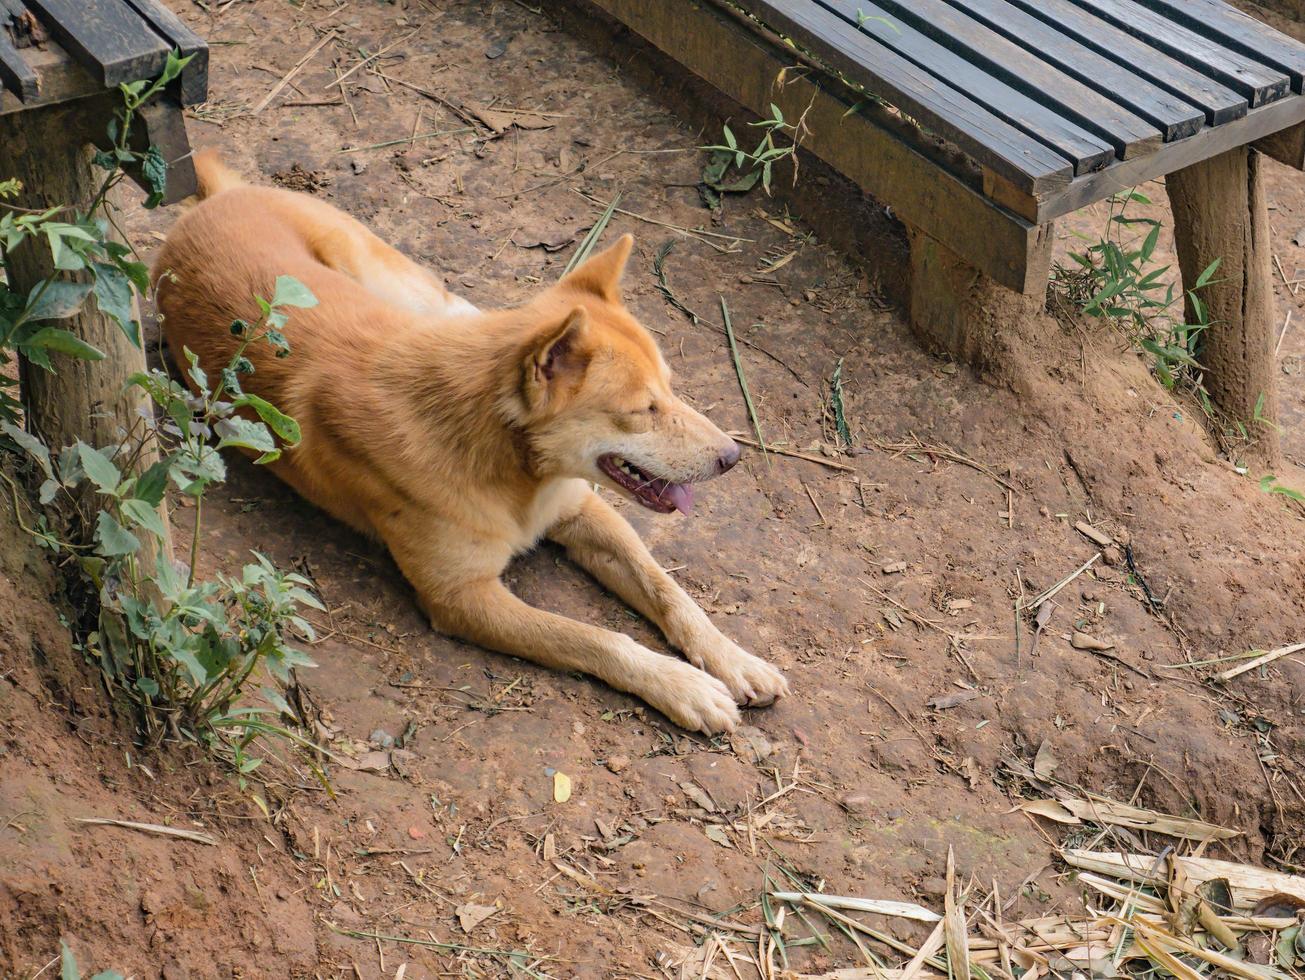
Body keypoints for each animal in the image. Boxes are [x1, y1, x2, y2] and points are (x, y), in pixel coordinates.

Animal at [152, 151, 782, 735]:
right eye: (642, 411)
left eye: (671, 390)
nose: (733, 457)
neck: (515, 469)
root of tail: (216, 200)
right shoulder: (463, 597)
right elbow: (594, 638)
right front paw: (681, 685)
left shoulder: (582, 509)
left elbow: (668, 589)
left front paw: (733, 658)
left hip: (421, 296)